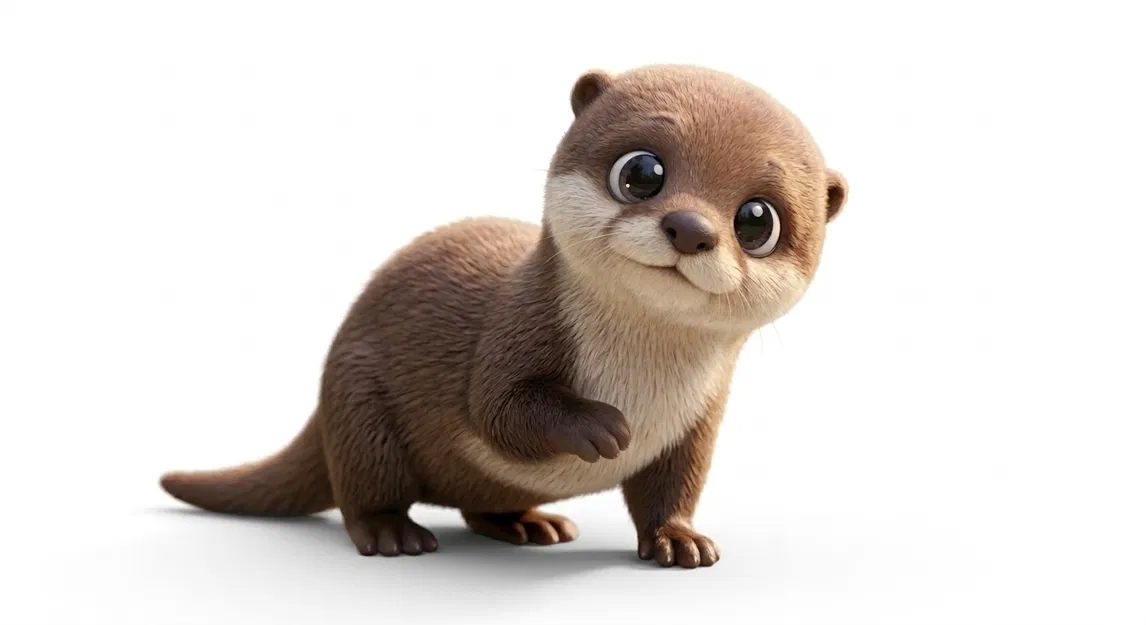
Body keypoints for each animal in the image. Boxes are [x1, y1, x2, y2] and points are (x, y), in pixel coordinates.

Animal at [160, 64, 849, 569]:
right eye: (642, 172)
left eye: (757, 221)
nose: (690, 228)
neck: (643, 379)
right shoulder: (514, 330)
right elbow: (497, 410)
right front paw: (599, 427)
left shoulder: (698, 422)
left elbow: (673, 487)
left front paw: (681, 541)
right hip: (360, 405)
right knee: (363, 489)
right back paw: (393, 535)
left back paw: (530, 524)